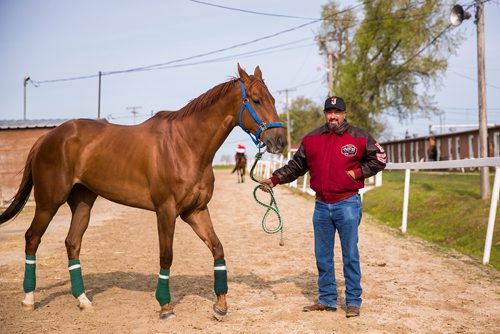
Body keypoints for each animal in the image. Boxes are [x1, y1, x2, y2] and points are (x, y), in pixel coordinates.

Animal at [0, 64, 286, 318]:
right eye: (257, 100)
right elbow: (166, 256)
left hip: (82, 202)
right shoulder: (166, 211)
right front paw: (165, 306)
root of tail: (47, 137)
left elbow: (218, 249)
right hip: (48, 202)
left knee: (72, 243)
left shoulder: (196, 211)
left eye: (273, 99)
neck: (185, 145)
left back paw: (83, 301)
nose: (280, 141)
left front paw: (221, 305)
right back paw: (28, 299)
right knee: (32, 238)